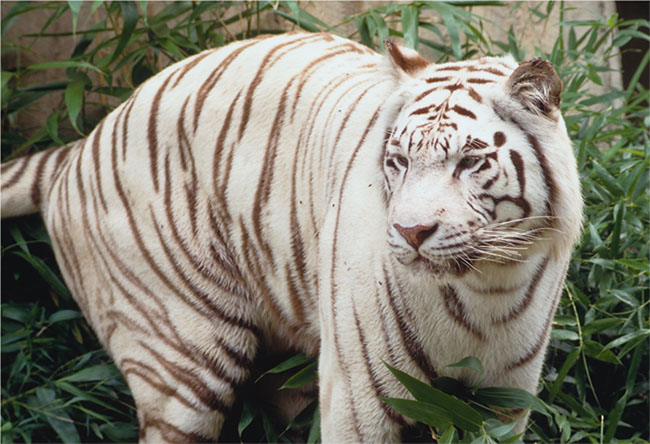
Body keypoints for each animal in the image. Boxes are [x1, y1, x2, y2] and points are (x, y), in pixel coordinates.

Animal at [1, 31, 583, 442]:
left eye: (469, 162)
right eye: (398, 160)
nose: (411, 232)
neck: (487, 286)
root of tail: (79, 146)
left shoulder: (509, 396)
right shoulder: (358, 395)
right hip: (180, 356)